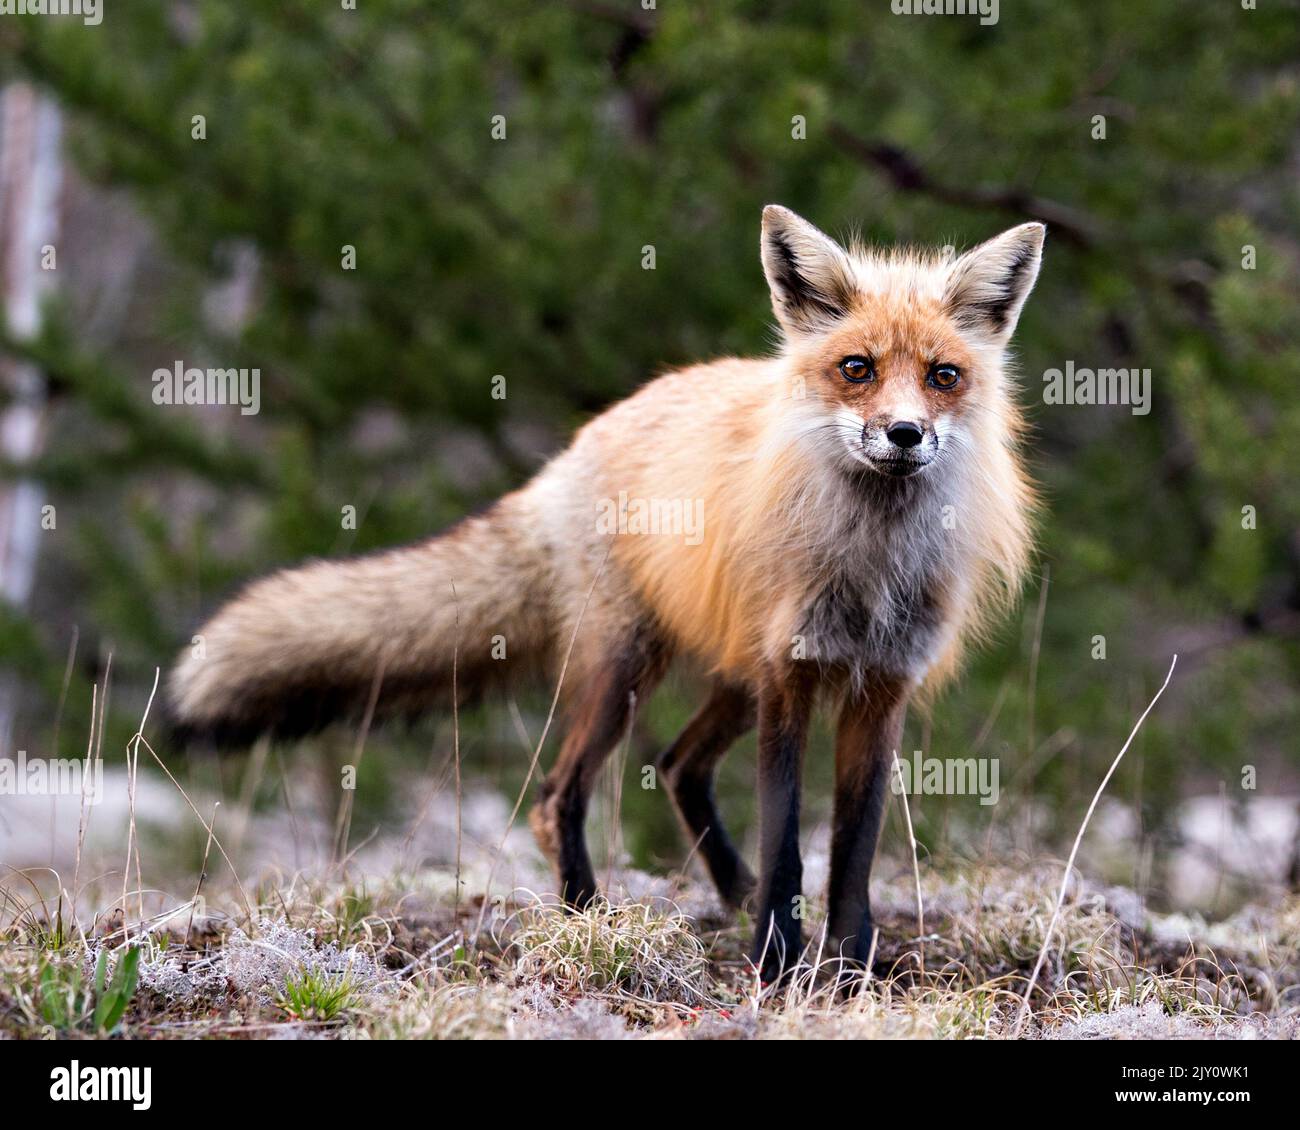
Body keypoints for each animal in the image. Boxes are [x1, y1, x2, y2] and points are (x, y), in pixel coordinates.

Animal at [175, 205, 1045, 977]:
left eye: (943, 376)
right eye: (856, 369)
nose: (905, 434)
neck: (869, 562)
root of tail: (582, 443)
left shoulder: (881, 686)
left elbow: (855, 854)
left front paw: (852, 967)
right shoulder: (788, 679)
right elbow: (789, 844)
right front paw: (775, 964)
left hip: (727, 675)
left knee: (679, 766)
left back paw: (726, 896)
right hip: (624, 668)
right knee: (559, 794)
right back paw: (588, 917)